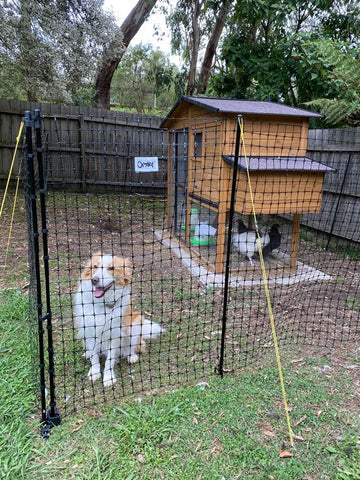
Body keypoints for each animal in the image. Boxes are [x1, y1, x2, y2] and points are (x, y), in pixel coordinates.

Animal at [74, 253, 165, 388]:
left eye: (111, 268)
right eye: (95, 266)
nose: (94, 280)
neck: (103, 304)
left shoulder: (115, 334)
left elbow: (109, 360)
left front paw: (108, 377)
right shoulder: (90, 331)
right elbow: (95, 356)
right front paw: (94, 372)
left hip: (136, 322)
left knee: (132, 347)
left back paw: (131, 356)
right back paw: (88, 353)